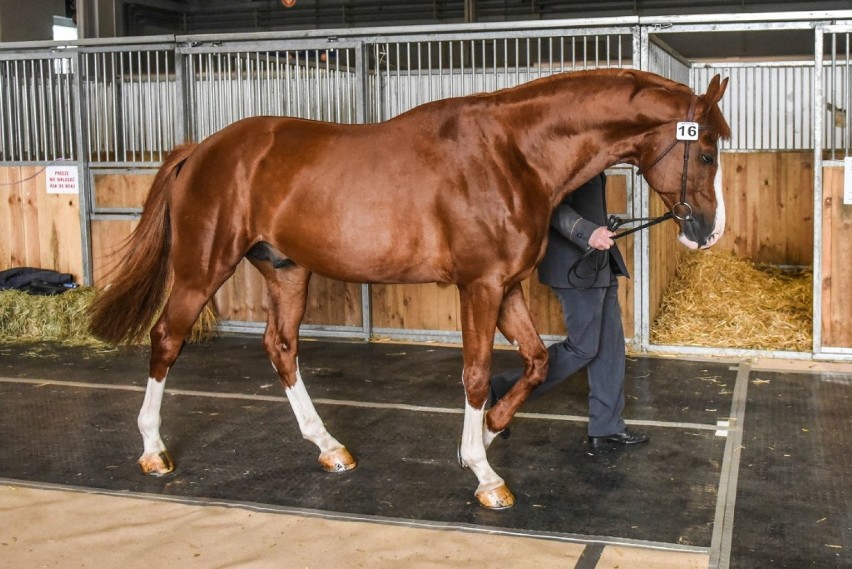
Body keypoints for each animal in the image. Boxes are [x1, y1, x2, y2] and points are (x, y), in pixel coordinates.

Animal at [93, 69, 732, 508]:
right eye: (704, 152)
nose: (708, 231)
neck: (512, 154)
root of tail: (200, 150)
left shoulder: (507, 287)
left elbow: (536, 362)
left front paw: (492, 430)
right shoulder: (479, 287)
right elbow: (476, 374)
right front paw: (484, 473)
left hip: (287, 271)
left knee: (281, 348)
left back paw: (330, 448)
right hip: (202, 269)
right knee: (166, 339)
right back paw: (153, 452)